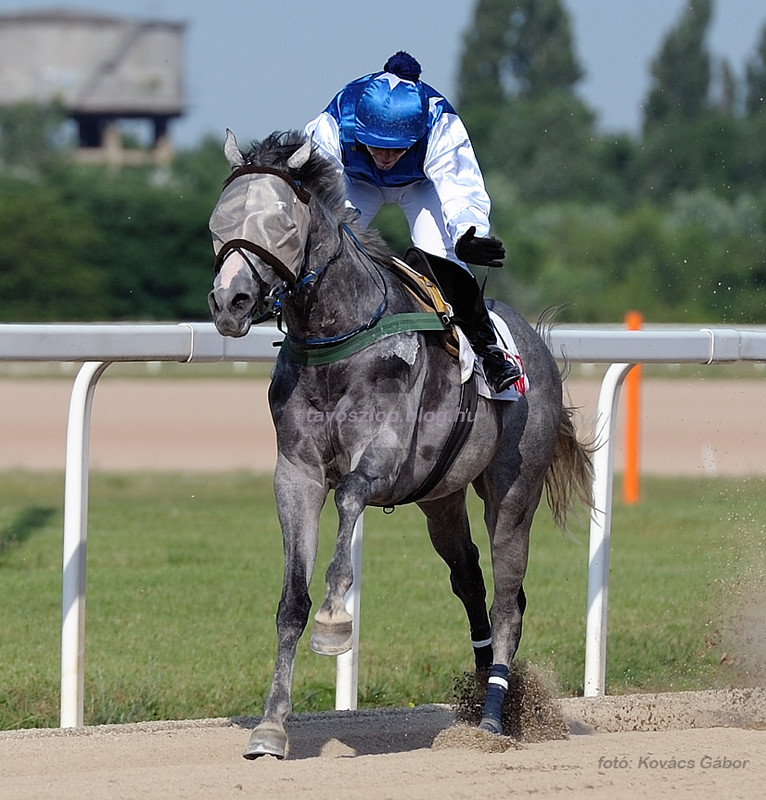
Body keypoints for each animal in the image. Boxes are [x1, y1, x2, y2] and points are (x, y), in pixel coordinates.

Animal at [206, 130, 592, 756]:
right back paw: (486, 688)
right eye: (220, 221)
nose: (230, 302)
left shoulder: (386, 461)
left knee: (508, 599)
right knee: (470, 580)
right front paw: (271, 726)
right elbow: (291, 600)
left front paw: (336, 621)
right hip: (442, 499)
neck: (338, 337)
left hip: (514, 493)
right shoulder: (296, 472)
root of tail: (533, 341)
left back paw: (491, 721)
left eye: (282, 225)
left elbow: (349, 497)